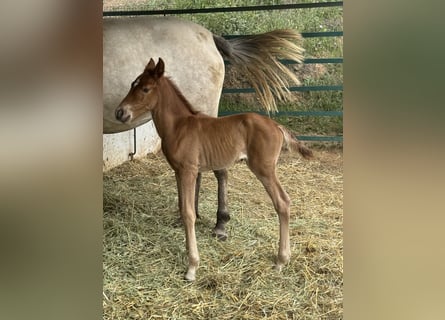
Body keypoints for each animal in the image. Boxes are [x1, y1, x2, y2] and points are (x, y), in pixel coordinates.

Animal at [103, 16, 306, 239]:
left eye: (145, 89)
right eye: (132, 84)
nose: (120, 112)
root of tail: (210, 36)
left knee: (221, 171)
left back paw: (220, 223)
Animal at [116, 58, 314, 282]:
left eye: (145, 88)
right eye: (132, 84)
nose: (120, 112)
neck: (179, 126)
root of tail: (276, 125)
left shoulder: (189, 171)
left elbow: (189, 213)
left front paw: (192, 267)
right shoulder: (178, 171)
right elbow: (183, 208)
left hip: (264, 169)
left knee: (282, 202)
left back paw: (281, 260)